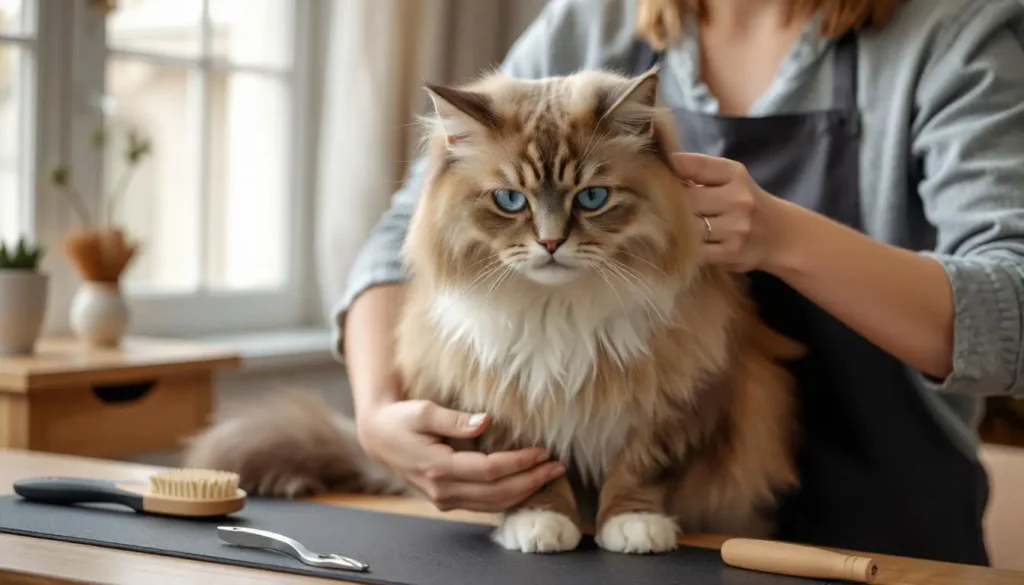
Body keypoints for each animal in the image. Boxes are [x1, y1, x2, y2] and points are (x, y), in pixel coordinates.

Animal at [188, 66, 802, 557]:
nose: (551, 244)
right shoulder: (500, 396)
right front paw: (542, 524)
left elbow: (639, 470)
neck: (559, 310)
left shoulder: (676, 401)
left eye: (592, 198)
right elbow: (535, 472)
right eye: (511, 200)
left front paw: (633, 526)